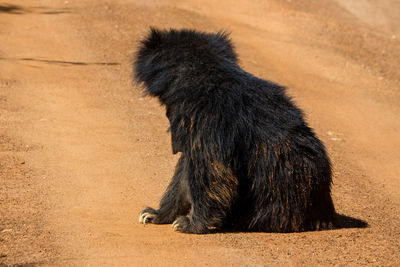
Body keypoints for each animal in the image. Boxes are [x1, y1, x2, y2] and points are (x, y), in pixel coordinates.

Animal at [134, 27, 334, 234]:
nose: (173, 143)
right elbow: (185, 169)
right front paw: (154, 214)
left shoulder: (208, 120)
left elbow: (214, 170)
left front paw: (187, 224)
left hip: (273, 208)